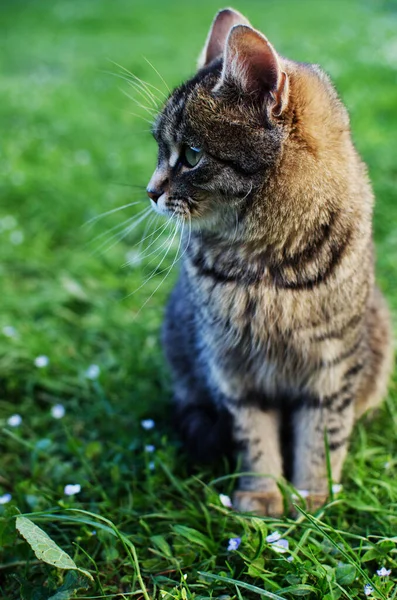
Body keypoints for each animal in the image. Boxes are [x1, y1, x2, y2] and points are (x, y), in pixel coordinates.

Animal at [145, 8, 392, 516]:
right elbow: (255, 439)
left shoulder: (333, 369)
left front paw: (313, 497)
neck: (263, 270)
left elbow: (322, 440)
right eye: (160, 150)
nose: (150, 191)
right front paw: (261, 495)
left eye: (191, 155)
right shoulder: (233, 370)